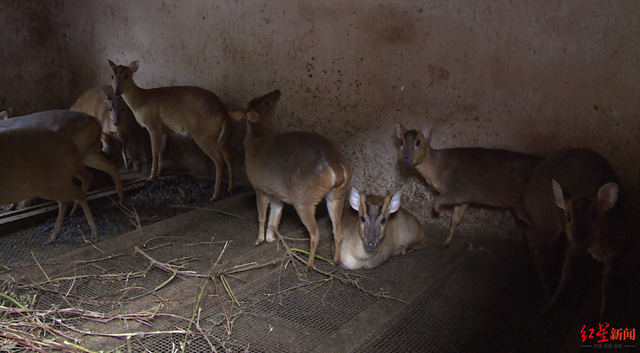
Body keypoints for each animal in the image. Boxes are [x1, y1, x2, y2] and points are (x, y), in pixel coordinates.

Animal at [109, 59, 234, 199]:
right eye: (112, 76)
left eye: (126, 76)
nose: (116, 92)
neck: (141, 102)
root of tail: (224, 113)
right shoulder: (163, 129)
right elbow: (161, 150)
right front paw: (159, 171)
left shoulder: (153, 126)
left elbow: (154, 151)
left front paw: (151, 176)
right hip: (220, 137)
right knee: (229, 155)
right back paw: (230, 187)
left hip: (203, 134)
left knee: (218, 158)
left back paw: (215, 195)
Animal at [229, 88, 350, 266]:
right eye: (264, 101)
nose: (277, 90)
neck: (254, 142)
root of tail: (337, 170)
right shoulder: (275, 192)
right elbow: (275, 216)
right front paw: (270, 239)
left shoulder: (259, 187)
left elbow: (261, 216)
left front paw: (259, 240)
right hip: (338, 194)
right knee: (338, 230)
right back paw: (335, 260)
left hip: (304, 198)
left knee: (316, 233)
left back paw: (309, 264)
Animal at [396, 124, 540, 248]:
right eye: (401, 142)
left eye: (418, 142)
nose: (405, 159)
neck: (436, 167)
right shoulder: (463, 200)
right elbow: (455, 220)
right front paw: (445, 243)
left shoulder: (458, 190)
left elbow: (438, 200)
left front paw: (437, 211)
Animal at [524, 147, 628, 320]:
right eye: (568, 216)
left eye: (594, 215)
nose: (579, 245)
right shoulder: (570, 247)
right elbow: (565, 277)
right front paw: (548, 307)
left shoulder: (614, 253)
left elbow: (605, 284)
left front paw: (603, 314)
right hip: (546, 221)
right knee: (532, 242)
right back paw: (546, 289)